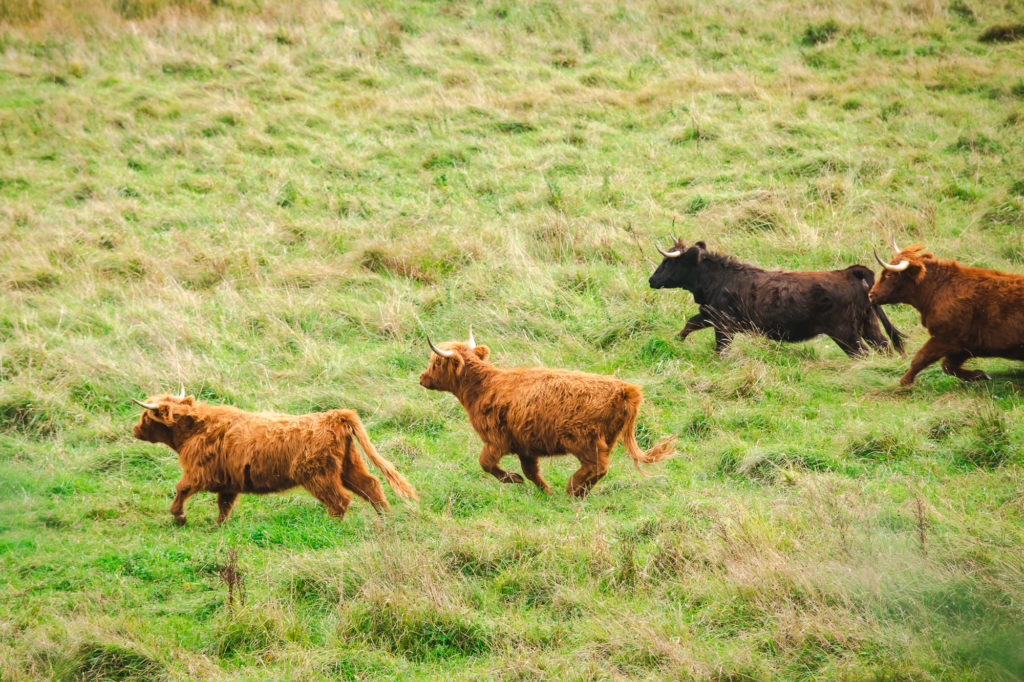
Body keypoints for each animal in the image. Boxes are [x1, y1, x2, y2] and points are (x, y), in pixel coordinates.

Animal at [131, 387, 415, 524]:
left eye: (146, 416)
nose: (134, 429)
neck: (196, 428)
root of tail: (334, 415)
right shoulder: (228, 481)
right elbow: (224, 505)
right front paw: (219, 525)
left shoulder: (199, 472)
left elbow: (181, 488)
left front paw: (179, 517)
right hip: (349, 465)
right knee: (371, 486)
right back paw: (385, 517)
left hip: (317, 474)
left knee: (340, 500)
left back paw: (331, 526)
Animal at [415, 327, 671, 493]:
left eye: (436, 363)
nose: (422, 378)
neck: (483, 387)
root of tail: (625, 390)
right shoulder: (525, 446)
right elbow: (531, 471)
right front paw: (544, 490)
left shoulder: (495, 440)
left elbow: (485, 463)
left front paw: (513, 479)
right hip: (607, 439)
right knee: (600, 469)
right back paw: (579, 491)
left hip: (584, 440)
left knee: (597, 466)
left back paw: (572, 489)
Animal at [647, 237, 905, 356]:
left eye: (668, 262)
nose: (651, 280)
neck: (718, 279)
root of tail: (851, 272)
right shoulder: (709, 315)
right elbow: (690, 324)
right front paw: (676, 342)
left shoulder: (723, 324)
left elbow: (719, 346)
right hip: (868, 325)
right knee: (884, 346)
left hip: (846, 333)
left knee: (863, 353)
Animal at [868, 241, 1024, 385]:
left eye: (889, 275)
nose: (871, 294)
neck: (937, 289)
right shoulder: (963, 346)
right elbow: (948, 366)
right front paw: (980, 375)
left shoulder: (944, 338)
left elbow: (920, 358)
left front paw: (905, 381)